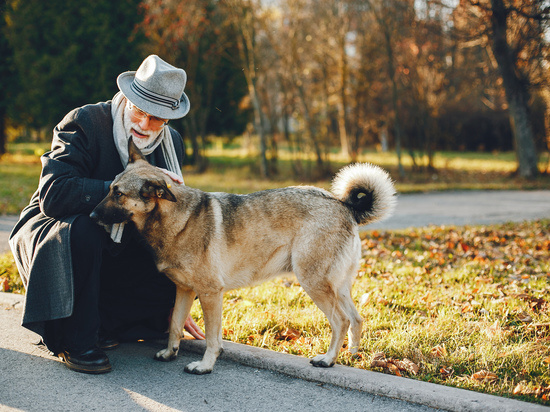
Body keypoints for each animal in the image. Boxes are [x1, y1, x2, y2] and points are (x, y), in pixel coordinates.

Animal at [90, 140, 396, 374]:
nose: (91, 216)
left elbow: (212, 338)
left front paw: (205, 366)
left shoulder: (210, 294)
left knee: (341, 321)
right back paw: (352, 355)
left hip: (314, 282)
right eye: (110, 189)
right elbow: (176, 325)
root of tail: (344, 205)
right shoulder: (184, 291)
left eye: (118, 193)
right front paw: (169, 352)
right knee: (356, 319)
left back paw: (329, 359)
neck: (176, 219)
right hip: (337, 286)